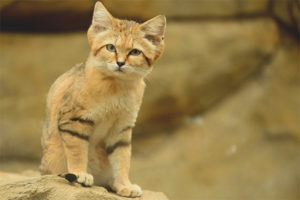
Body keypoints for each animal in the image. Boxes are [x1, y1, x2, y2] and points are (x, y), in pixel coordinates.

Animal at [39, 1, 166, 198]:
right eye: (111, 47)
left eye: (135, 52)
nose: (120, 63)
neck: (117, 88)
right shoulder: (74, 120)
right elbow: (77, 151)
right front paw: (79, 173)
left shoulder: (122, 128)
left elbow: (122, 159)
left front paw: (124, 184)